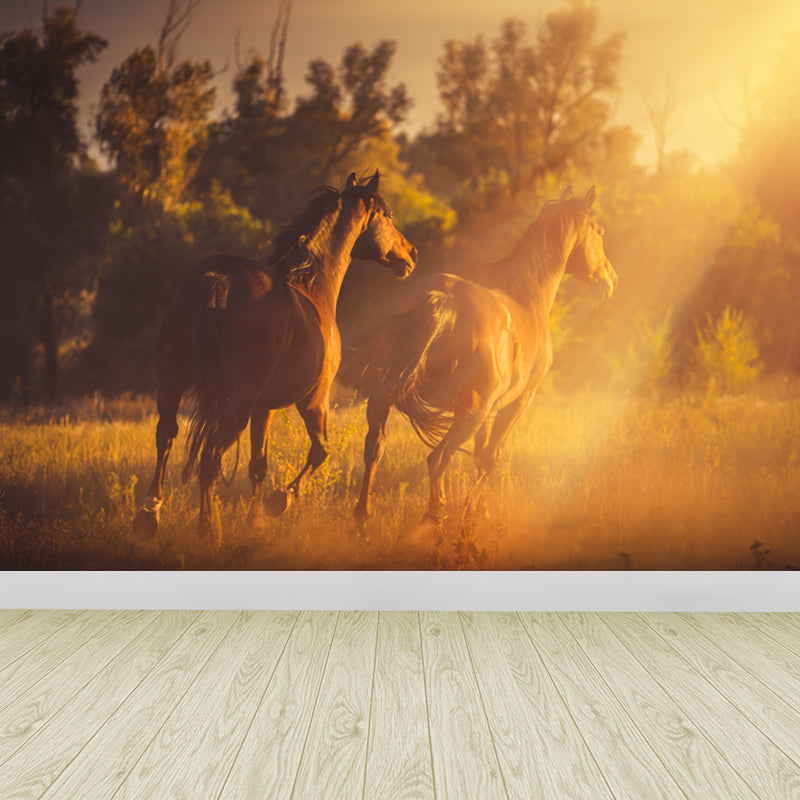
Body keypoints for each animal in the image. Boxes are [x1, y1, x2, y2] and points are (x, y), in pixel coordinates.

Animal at [134, 171, 418, 537]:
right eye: (387, 215)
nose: (411, 254)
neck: (312, 285)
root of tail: (218, 278)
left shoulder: (263, 407)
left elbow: (259, 464)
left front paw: (255, 520)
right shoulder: (314, 400)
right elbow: (320, 451)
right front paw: (279, 501)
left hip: (173, 384)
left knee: (166, 438)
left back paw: (149, 515)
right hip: (235, 405)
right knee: (210, 458)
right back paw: (208, 529)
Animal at [353, 186, 616, 527]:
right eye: (600, 232)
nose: (610, 281)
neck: (527, 299)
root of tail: (443, 298)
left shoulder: (491, 410)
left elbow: (480, 457)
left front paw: (477, 511)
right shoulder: (518, 402)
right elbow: (491, 458)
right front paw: (473, 515)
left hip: (384, 397)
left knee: (375, 447)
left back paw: (362, 519)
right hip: (469, 414)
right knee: (438, 459)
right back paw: (434, 518)